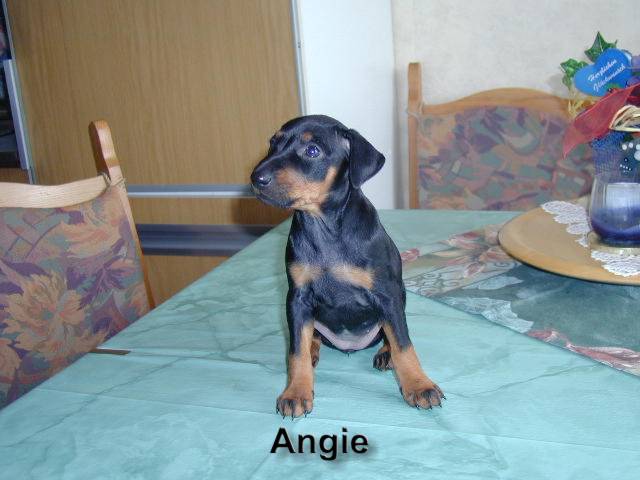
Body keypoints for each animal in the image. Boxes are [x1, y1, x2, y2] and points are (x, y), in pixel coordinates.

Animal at [250, 115, 444, 418]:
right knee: (308, 337)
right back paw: (313, 348)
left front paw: (418, 385)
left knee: (389, 334)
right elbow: (296, 350)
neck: (324, 227)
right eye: (272, 143)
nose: (256, 178)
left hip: (398, 298)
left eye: (313, 150)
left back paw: (385, 353)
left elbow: (403, 343)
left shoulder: (387, 295)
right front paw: (296, 390)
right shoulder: (297, 297)